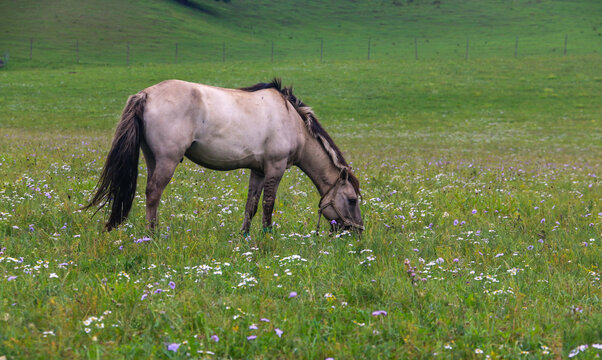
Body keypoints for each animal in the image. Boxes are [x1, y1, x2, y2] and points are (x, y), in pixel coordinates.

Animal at [84, 78, 360, 233]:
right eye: (353, 200)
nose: (357, 232)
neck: (293, 121)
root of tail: (146, 94)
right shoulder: (275, 168)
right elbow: (268, 205)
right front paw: (267, 238)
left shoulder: (258, 171)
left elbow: (252, 205)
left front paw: (244, 237)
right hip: (167, 161)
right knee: (153, 193)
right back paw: (152, 236)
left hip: (152, 159)